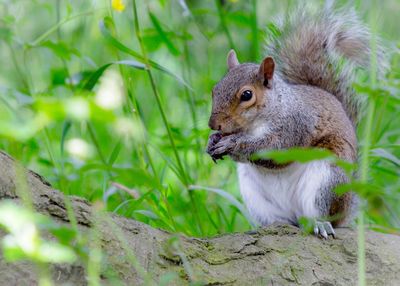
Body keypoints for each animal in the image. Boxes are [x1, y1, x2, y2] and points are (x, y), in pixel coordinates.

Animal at [206, 7, 382, 238]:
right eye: (215, 90)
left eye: (246, 95)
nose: (213, 124)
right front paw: (212, 141)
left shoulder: (296, 126)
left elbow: (275, 149)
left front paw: (233, 144)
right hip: (254, 194)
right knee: (283, 221)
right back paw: (270, 227)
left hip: (326, 178)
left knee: (321, 214)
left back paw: (320, 224)